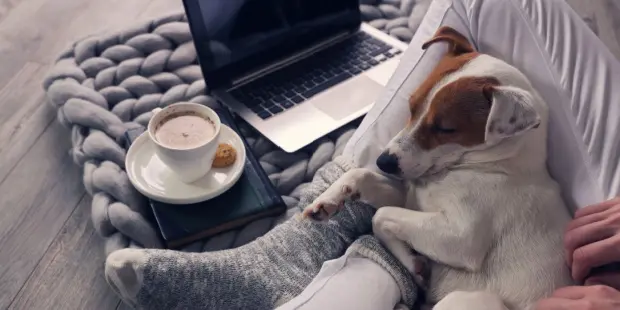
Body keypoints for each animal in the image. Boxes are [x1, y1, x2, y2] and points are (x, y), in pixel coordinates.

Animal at [302, 27, 572, 310]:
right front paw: (328, 200)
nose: (383, 161)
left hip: (471, 297)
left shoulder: (461, 238)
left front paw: (412, 264)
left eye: (445, 128)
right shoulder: (412, 201)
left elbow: (381, 216)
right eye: (411, 105)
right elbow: (361, 176)